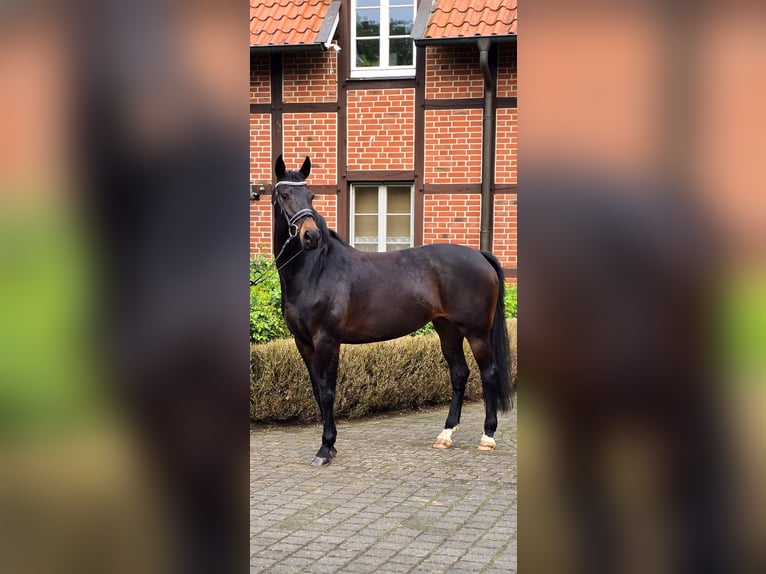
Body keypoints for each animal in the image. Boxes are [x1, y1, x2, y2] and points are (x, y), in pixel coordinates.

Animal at [271, 155, 515, 466]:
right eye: (284, 195)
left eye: (311, 196)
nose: (310, 236)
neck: (316, 270)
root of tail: (480, 255)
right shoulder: (303, 342)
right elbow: (316, 390)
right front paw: (330, 445)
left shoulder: (327, 340)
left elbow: (327, 391)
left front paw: (326, 448)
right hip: (447, 329)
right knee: (459, 373)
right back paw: (445, 434)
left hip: (477, 333)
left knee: (489, 373)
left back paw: (487, 437)